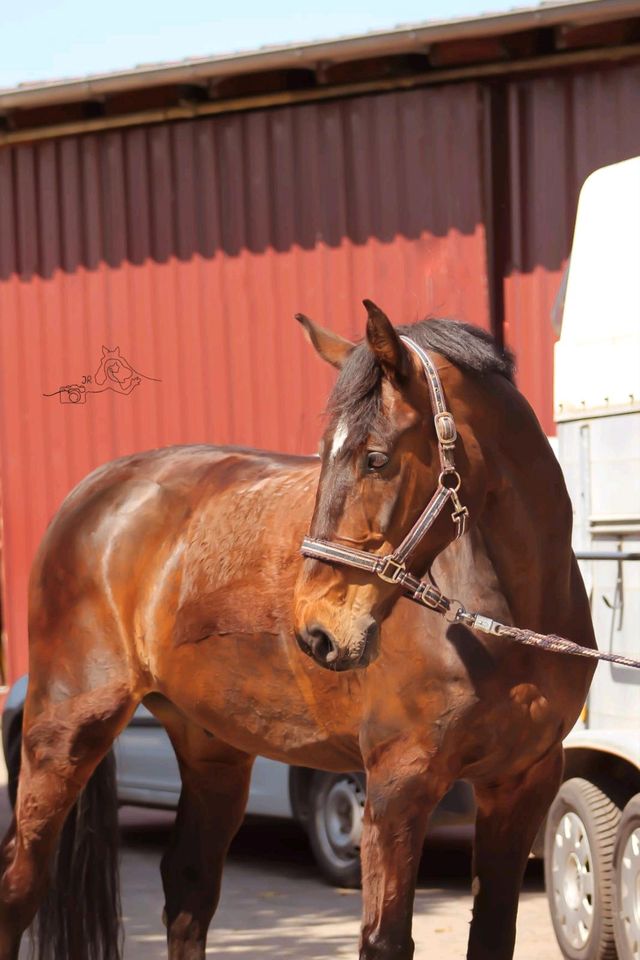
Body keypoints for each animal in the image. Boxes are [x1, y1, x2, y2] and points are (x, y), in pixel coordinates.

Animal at [0, 302, 596, 960]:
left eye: (375, 458)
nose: (316, 633)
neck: (503, 625)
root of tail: (90, 494)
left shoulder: (521, 784)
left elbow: (493, 933)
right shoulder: (398, 785)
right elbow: (384, 939)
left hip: (212, 747)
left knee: (188, 889)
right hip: (63, 733)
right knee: (19, 887)